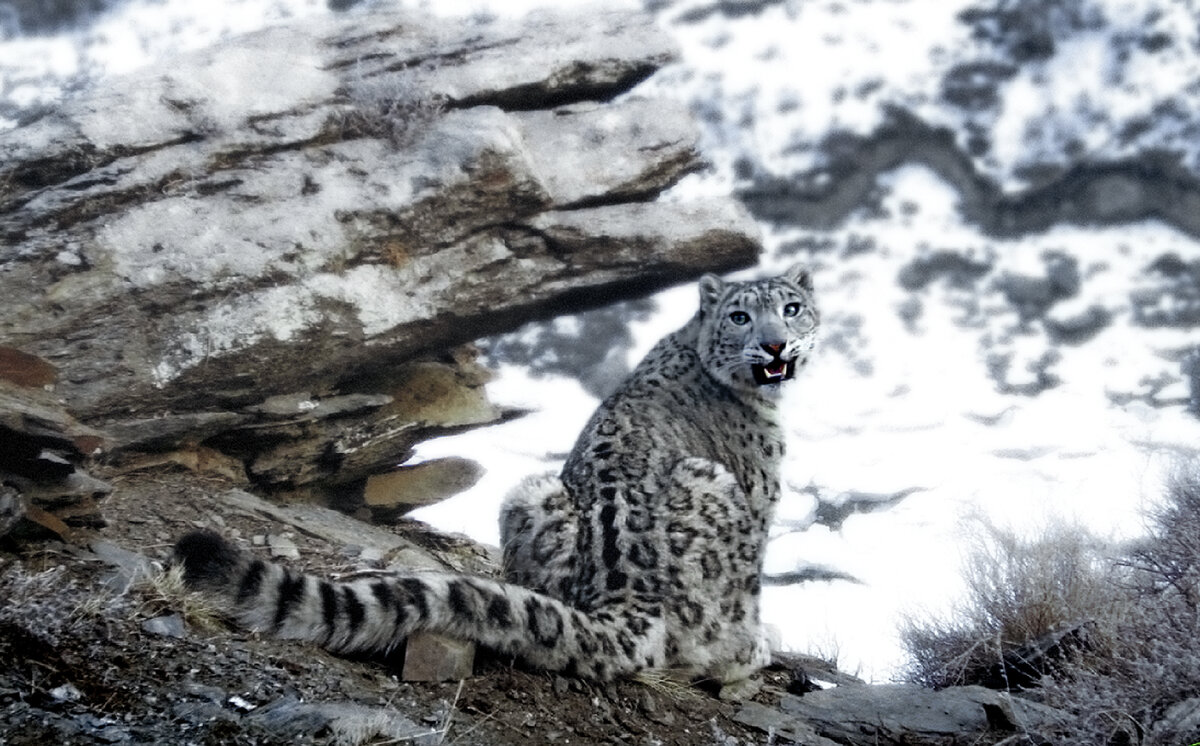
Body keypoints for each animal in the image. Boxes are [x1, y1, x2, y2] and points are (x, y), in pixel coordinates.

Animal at [175, 265, 816, 690]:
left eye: (791, 308)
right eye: (740, 315)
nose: (774, 344)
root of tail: (625, 593)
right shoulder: (762, 492)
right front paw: (761, 640)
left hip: (526, 494)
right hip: (717, 489)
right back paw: (748, 651)